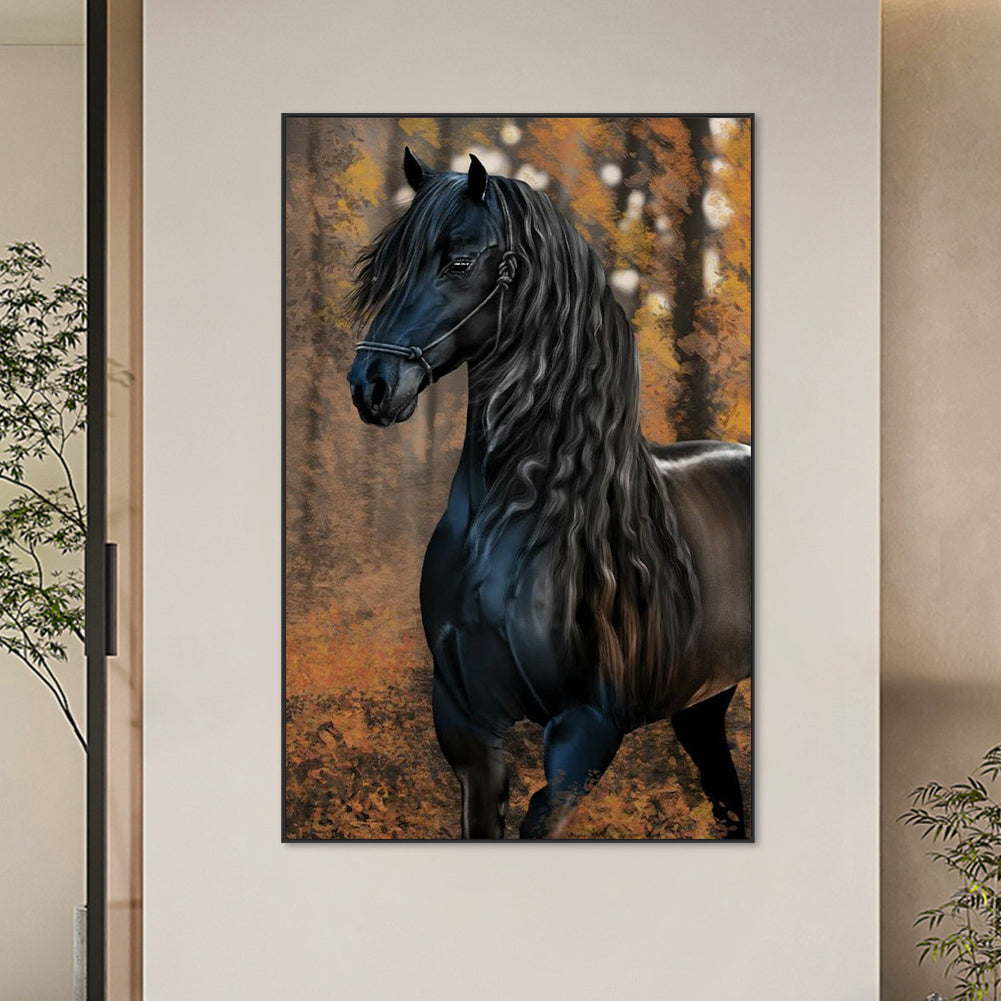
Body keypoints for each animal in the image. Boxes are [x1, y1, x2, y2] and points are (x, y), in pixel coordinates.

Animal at [346, 147, 751, 840]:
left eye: (459, 263)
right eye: (386, 267)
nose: (370, 383)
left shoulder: (584, 733)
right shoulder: (465, 725)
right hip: (702, 707)